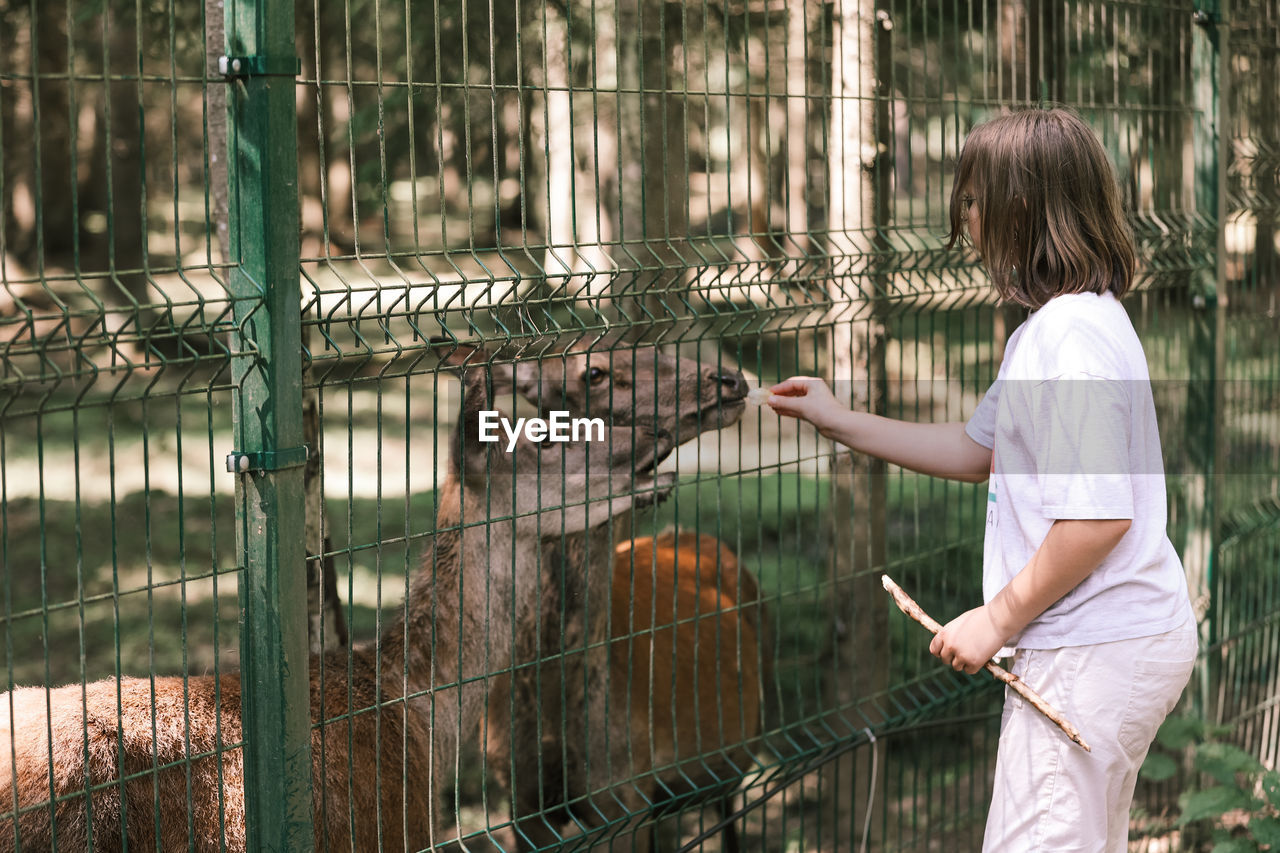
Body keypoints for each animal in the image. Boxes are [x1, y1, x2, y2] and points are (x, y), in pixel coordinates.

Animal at [476, 335, 757, 845]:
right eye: (594, 372)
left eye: (655, 346)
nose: (730, 378)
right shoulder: (517, 797)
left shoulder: (627, 794)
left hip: (731, 762)